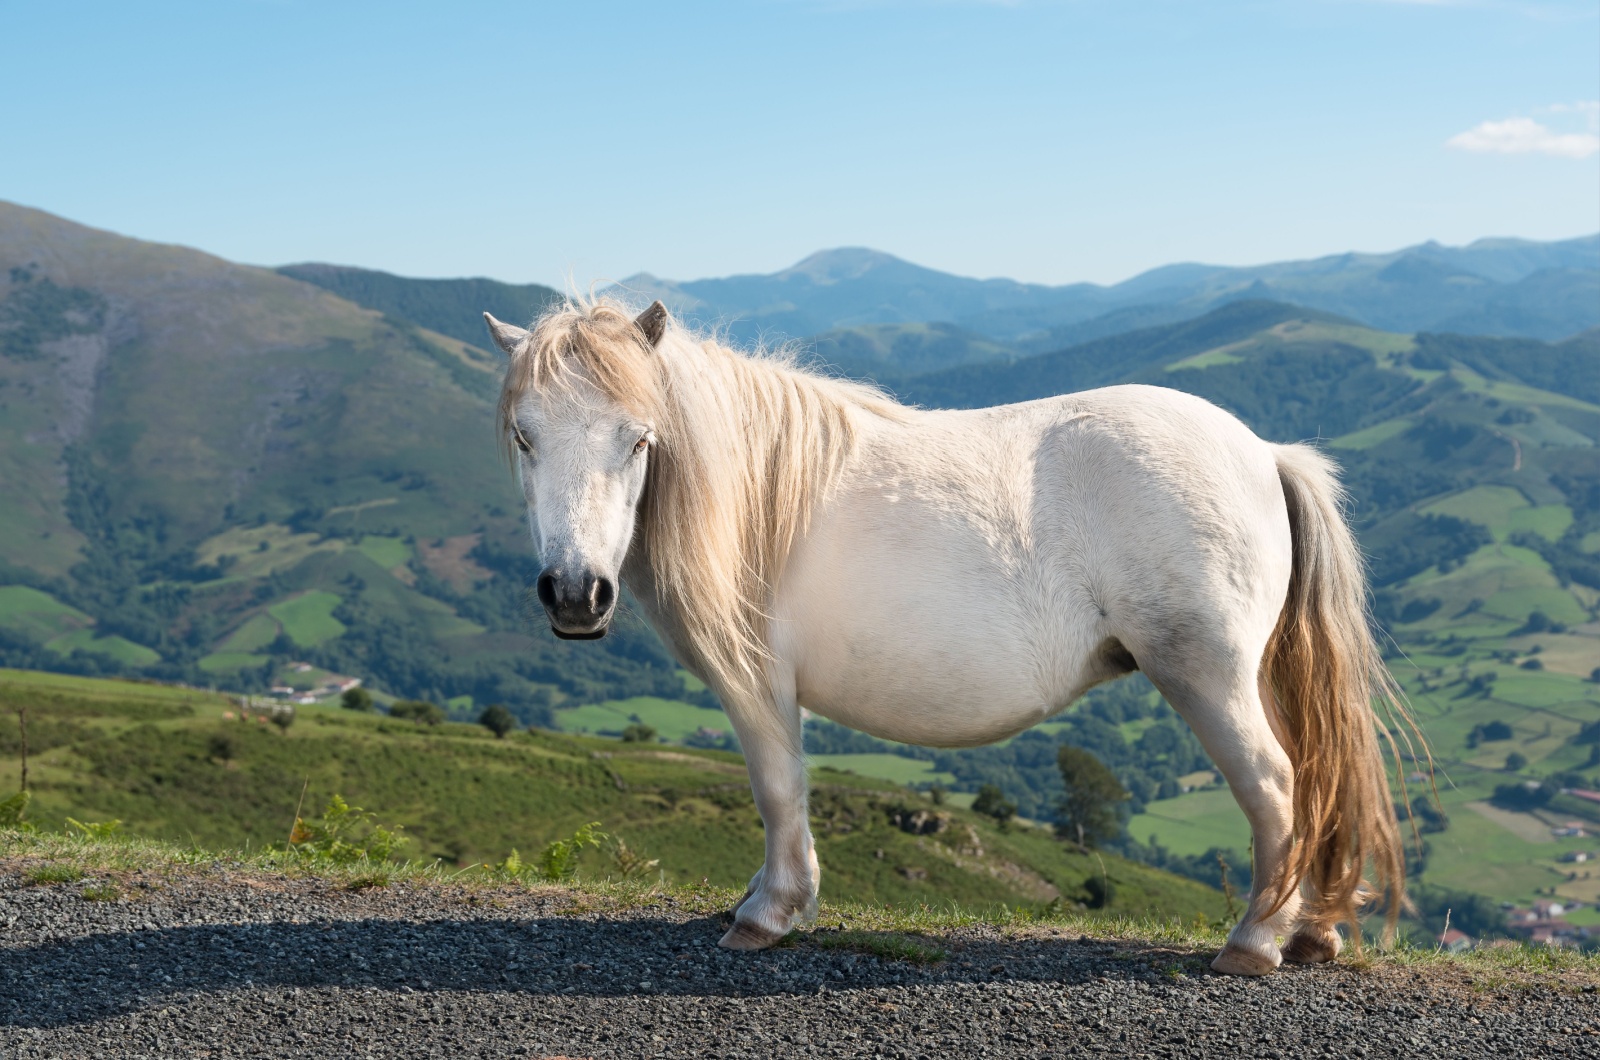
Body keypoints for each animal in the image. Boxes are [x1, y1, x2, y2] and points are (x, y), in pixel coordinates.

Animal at [480, 299, 1408, 979]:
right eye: (524, 437)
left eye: (638, 439)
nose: (575, 593)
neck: (755, 494)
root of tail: (1264, 452)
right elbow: (786, 792)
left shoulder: (756, 684)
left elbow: (777, 789)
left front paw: (770, 913)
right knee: (1311, 782)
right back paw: (1311, 931)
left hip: (1206, 675)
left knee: (1276, 786)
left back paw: (1253, 943)